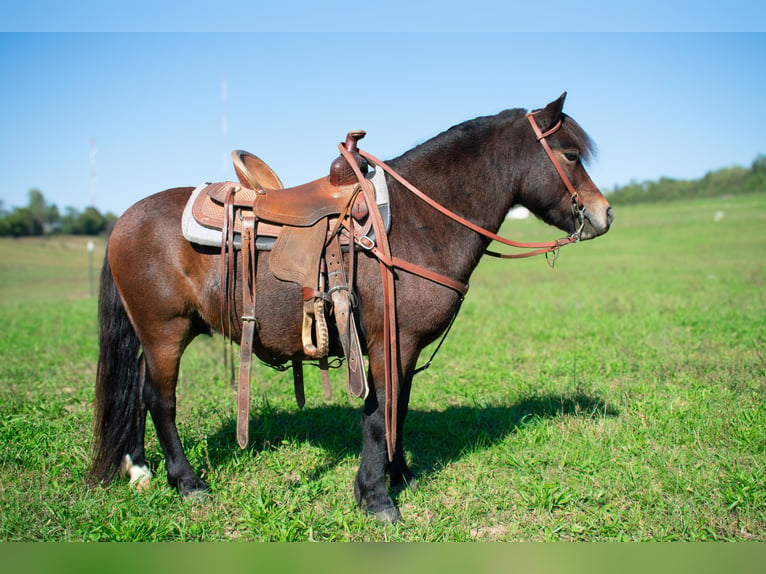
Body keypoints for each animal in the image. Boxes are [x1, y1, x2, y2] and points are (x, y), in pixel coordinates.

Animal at [90, 95, 616, 528]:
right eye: (571, 155)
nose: (605, 213)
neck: (418, 222)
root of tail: (124, 219)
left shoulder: (403, 348)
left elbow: (399, 408)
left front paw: (400, 474)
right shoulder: (388, 344)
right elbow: (379, 413)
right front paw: (377, 497)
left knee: (138, 394)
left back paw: (139, 468)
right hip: (165, 333)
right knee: (159, 400)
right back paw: (188, 482)